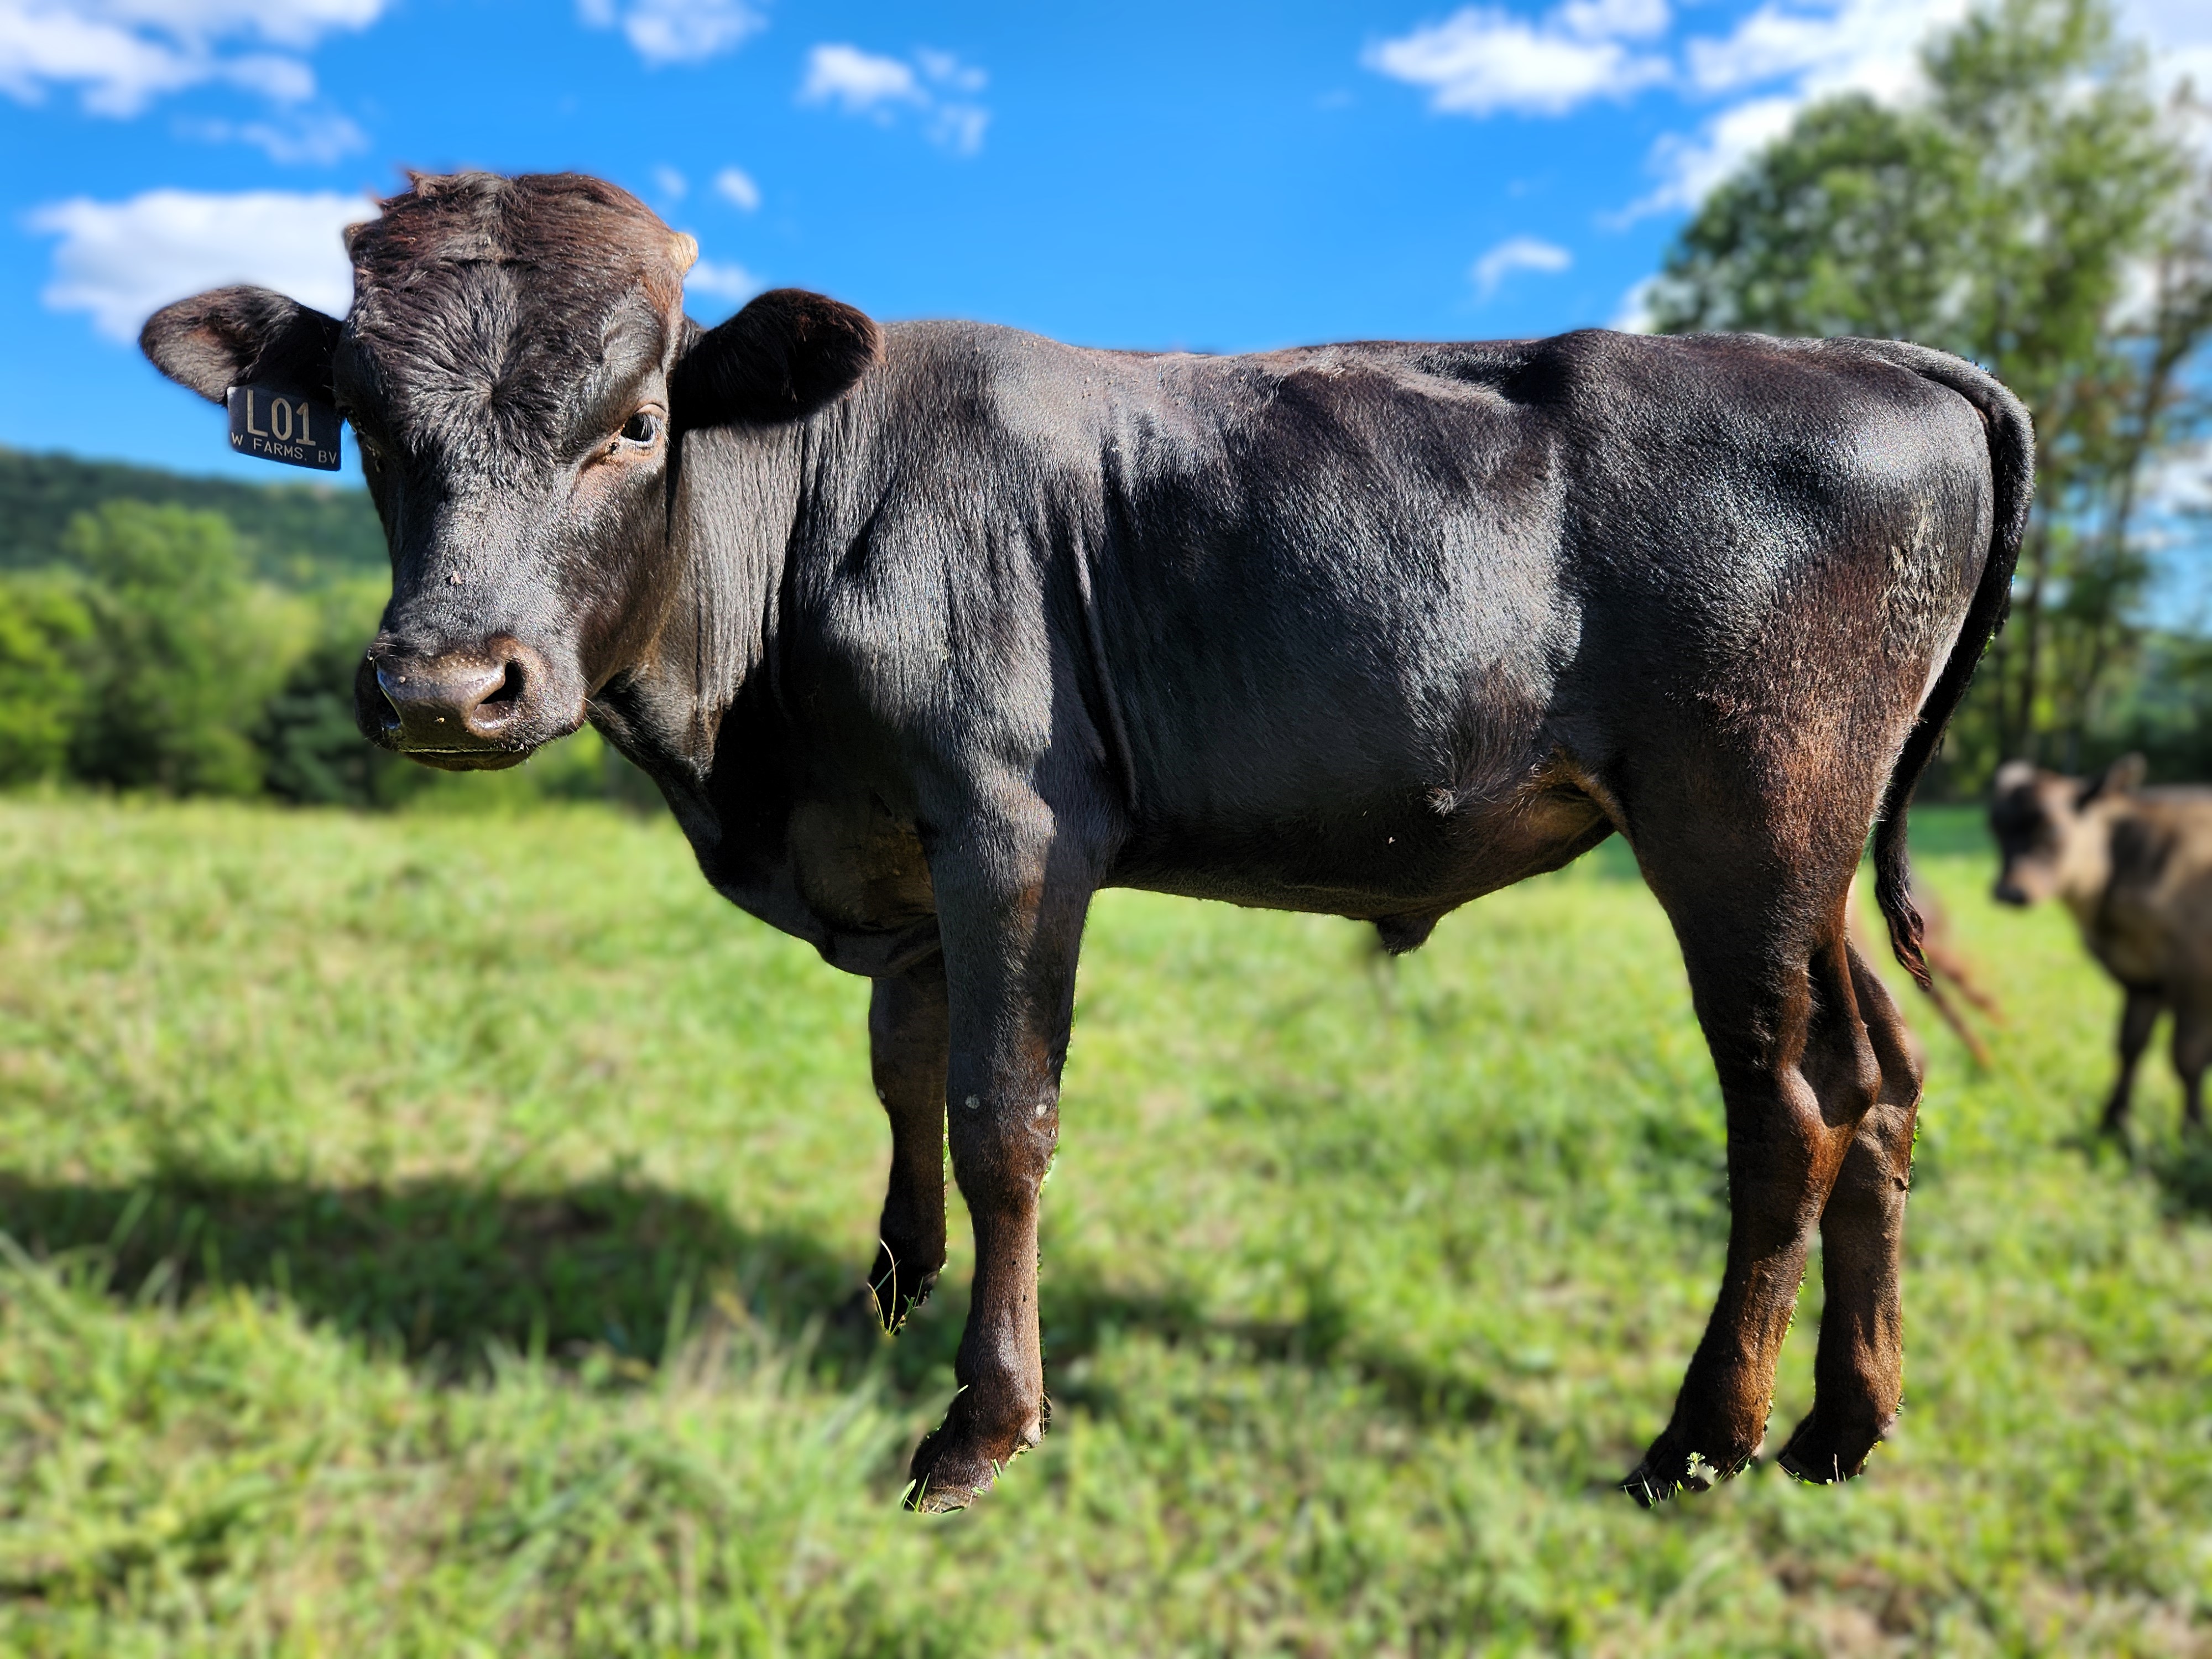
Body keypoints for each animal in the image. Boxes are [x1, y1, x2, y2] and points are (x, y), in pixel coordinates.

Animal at [1991, 757, 2212, 1141]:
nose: (2009, 892)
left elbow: (2188, 1056)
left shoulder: (2194, 973)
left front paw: (2192, 1133)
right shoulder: (2142, 979)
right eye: (1995, 827)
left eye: (2054, 829)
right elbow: (2130, 1045)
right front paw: (2113, 1121)